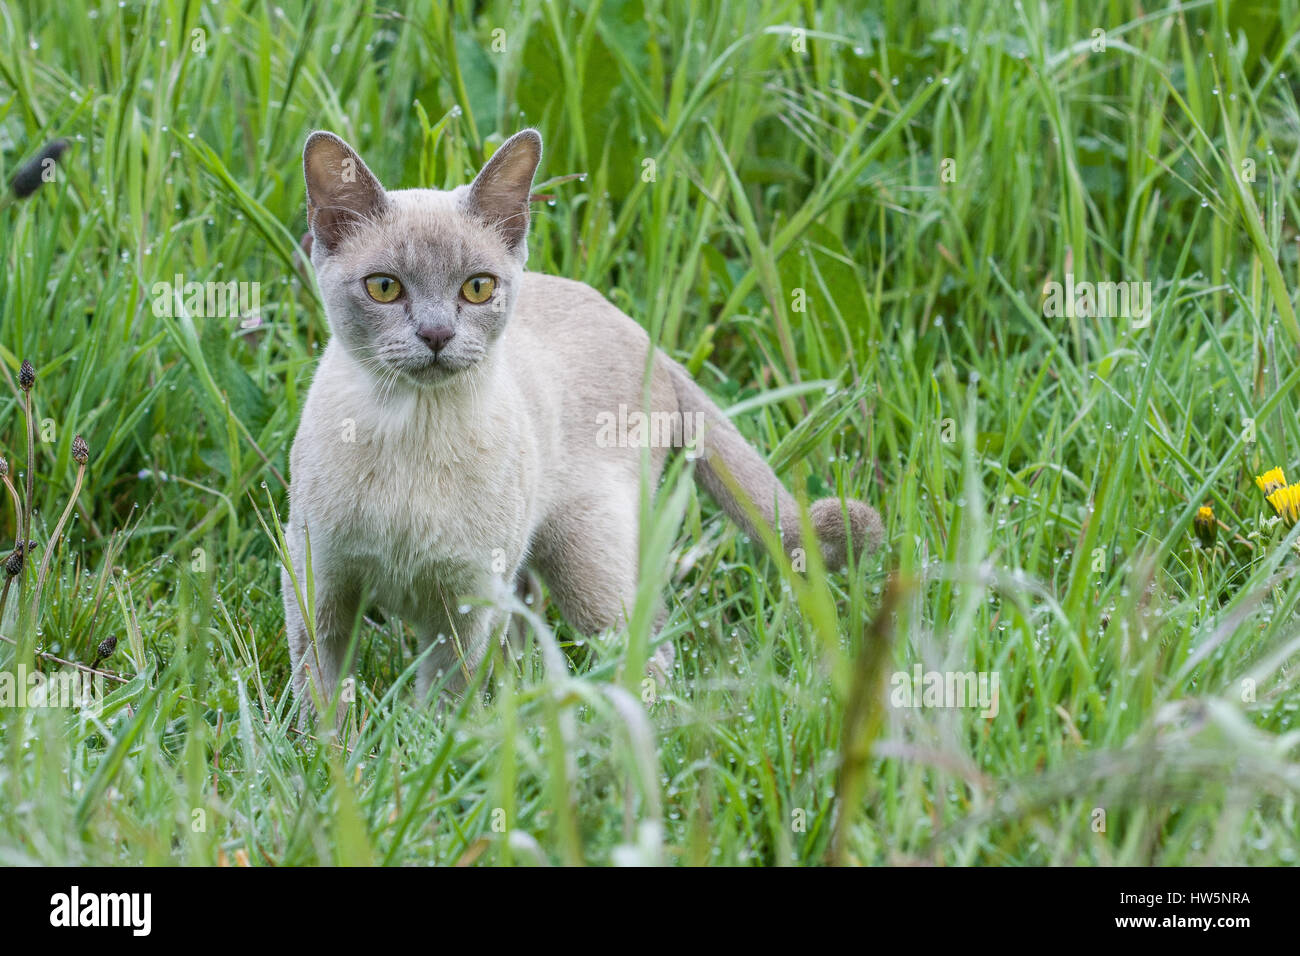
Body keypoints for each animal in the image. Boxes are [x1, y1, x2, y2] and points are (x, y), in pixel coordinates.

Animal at [284, 130, 883, 723]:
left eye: (477, 288)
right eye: (384, 288)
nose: (436, 335)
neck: (411, 431)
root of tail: (649, 341)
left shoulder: (467, 603)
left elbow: (443, 697)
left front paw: (432, 740)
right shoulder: (317, 584)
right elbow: (322, 690)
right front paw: (333, 749)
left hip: (583, 553)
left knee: (648, 644)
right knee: (541, 631)